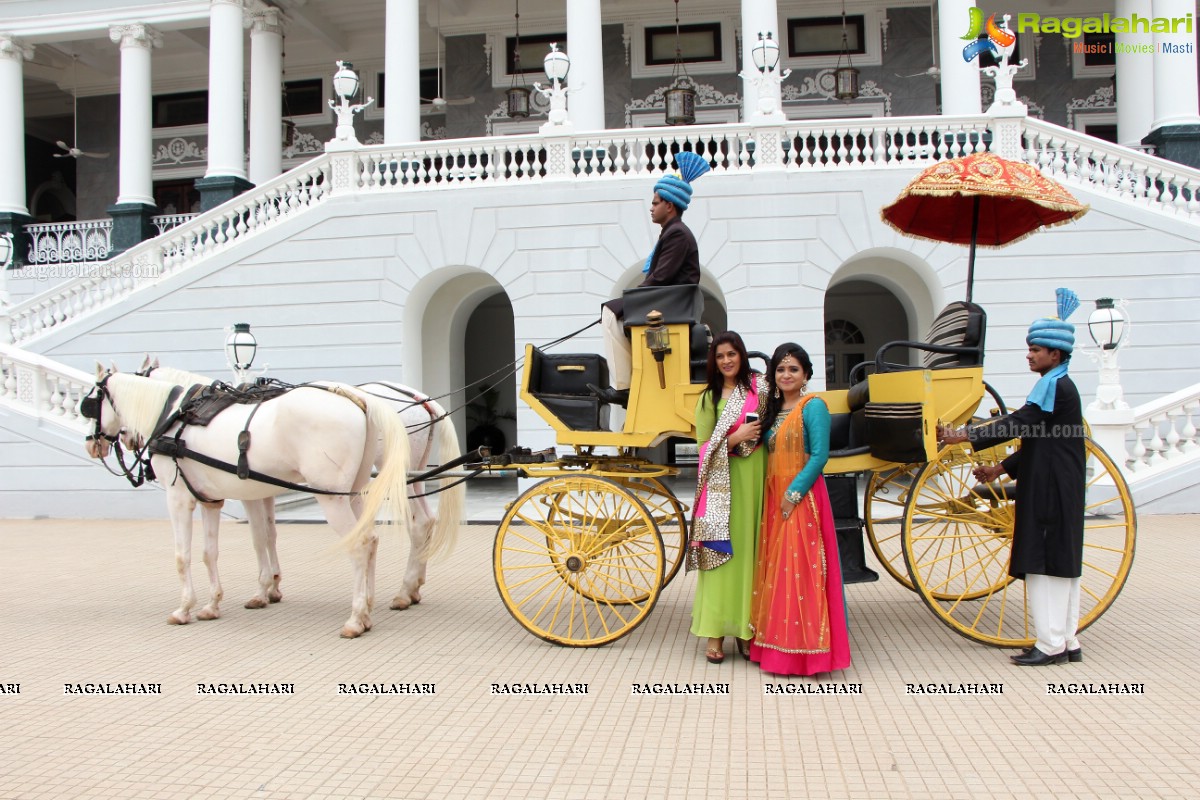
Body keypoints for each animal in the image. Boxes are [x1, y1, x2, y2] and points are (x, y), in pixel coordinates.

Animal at [85, 367, 417, 638]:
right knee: (370, 540)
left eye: (89, 403)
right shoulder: (211, 501)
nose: (92, 444)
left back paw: (356, 617)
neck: (175, 420)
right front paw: (212, 604)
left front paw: (184, 608)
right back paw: (367, 610)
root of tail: (355, 397)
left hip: (330, 497)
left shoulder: (178, 498)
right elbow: (212, 552)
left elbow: (183, 556)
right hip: (352, 494)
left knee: (358, 544)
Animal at [138, 362, 460, 614]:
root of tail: (419, 398)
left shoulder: (246, 493)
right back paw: (410, 588)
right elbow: (269, 535)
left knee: (414, 524)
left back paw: (401, 592)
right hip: (411, 476)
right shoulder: (263, 490)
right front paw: (272, 587)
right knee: (424, 521)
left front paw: (263, 590)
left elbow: (258, 538)